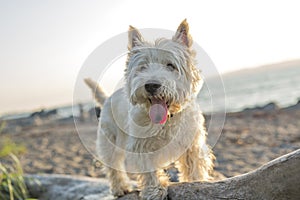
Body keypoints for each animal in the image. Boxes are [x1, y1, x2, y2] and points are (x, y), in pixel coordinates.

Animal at [85, 19, 214, 200]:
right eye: (143, 67)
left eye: (170, 65)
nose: (151, 85)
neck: (167, 119)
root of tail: (108, 98)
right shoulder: (141, 146)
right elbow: (149, 171)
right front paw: (154, 191)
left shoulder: (192, 142)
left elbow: (193, 163)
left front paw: (197, 182)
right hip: (109, 141)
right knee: (113, 165)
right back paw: (120, 188)